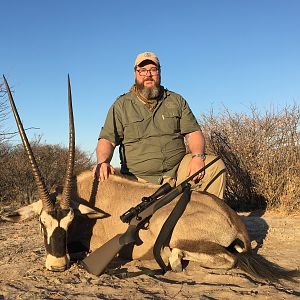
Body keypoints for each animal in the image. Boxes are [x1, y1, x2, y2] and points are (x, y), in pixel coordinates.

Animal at [2, 76, 300, 282]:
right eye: (42, 223)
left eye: (70, 221)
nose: (57, 265)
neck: (86, 194)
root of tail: (234, 220)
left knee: (227, 258)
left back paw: (173, 257)